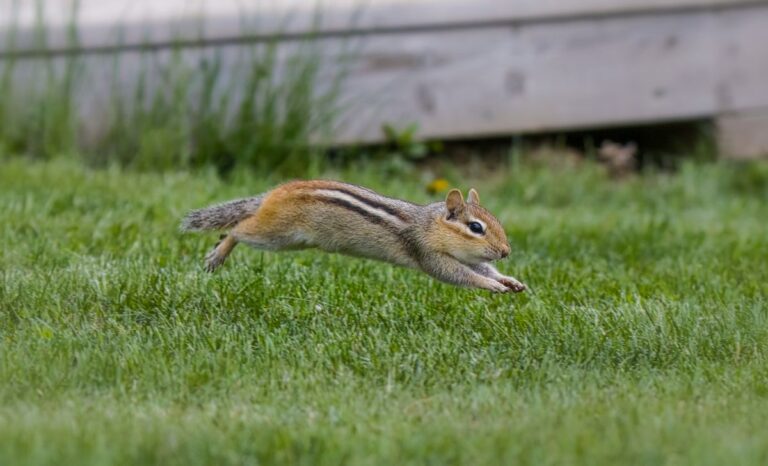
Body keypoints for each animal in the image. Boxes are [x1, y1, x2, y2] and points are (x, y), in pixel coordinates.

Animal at [181, 180, 526, 293]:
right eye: (476, 227)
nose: (506, 251)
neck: (430, 223)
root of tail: (272, 194)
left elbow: (480, 267)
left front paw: (509, 280)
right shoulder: (426, 252)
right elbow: (457, 274)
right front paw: (492, 285)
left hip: (292, 241)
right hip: (276, 235)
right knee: (238, 229)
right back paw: (218, 252)